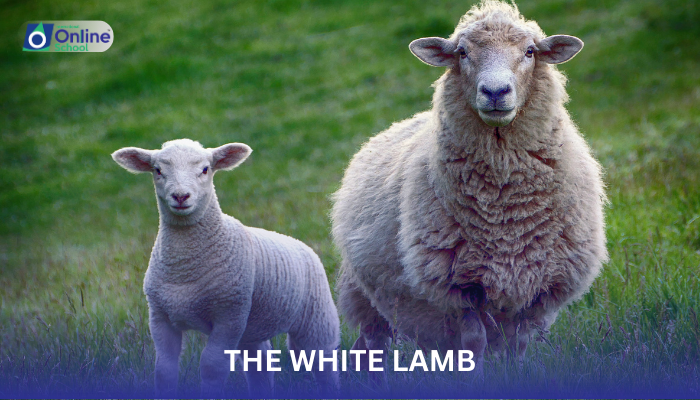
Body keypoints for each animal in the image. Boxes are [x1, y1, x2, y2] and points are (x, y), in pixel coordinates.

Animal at [112, 139, 339, 397]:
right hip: (252, 328)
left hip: (317, 317)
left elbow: (212, 366)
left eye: (205, 169)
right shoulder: (160, 316)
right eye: (158, 170)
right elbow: (164, 369)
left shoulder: (229, 314)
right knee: (260, 364)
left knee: (324, 363)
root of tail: (301, 244)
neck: (184, 269)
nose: (180, 196)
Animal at [331, 0, 607, 380]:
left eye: (530, 51)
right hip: (365, 298)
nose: (495, 92)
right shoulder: (459, 287)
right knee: (372, 347)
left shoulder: (538, 287)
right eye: (462, 52)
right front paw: (474, 379)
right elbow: (474, 344)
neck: (506, 211)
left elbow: (518, 346)